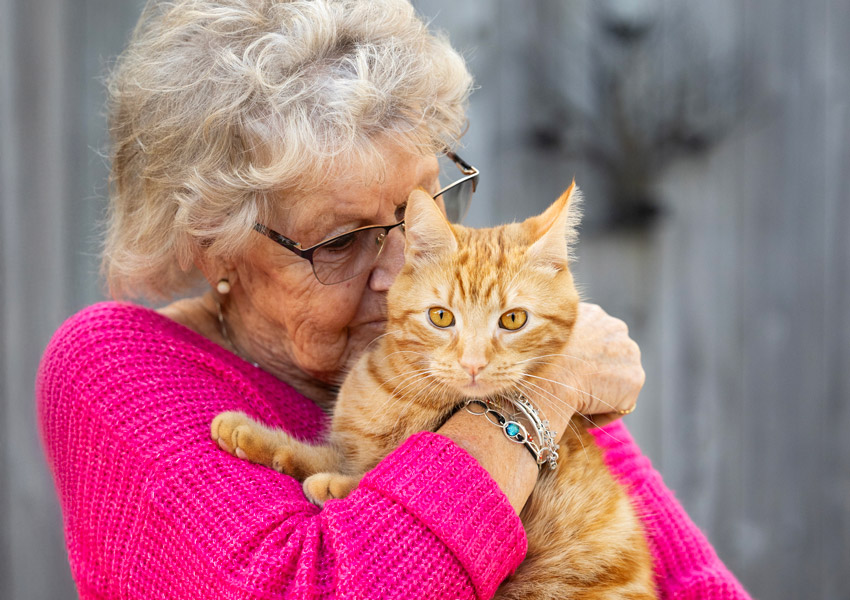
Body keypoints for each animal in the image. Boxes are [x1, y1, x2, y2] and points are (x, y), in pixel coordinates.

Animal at [214, 185, 656, 596]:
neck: (403, 395)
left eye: (513, 319)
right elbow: (321, 455)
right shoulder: (348, 448)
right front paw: (247, 434)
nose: (473, 363)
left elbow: (374, 474)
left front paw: (336, 485)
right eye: (441, 317)